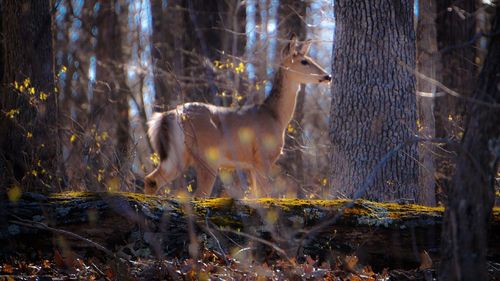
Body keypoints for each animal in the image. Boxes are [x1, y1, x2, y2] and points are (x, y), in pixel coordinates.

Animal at [144, 34, 332, 197]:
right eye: (304, 61)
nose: (327, 76)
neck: (275, 116)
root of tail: (168, 115)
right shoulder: (262, 157)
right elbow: (265, 195)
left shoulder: (251, 165)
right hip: (207, 156)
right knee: (199, 195)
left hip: (177, 155)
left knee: (152, 179)